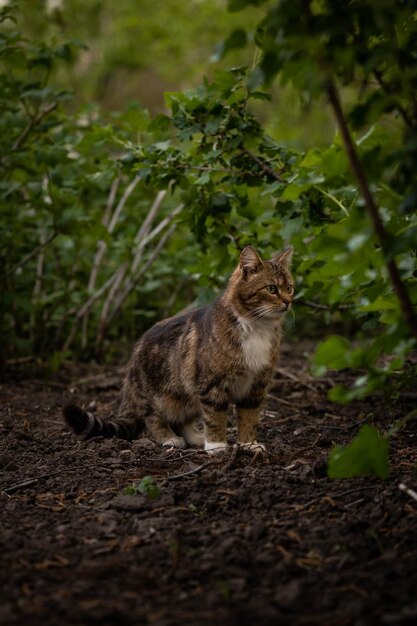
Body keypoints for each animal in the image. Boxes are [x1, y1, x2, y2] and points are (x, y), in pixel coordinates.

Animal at [63, 245, 294, 454]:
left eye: (290, 287)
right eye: (272, 288)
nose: (288, 301)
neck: (257, 327)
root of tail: (132, 362)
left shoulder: (256, 385)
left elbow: (249, 417)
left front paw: (248, 444)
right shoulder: (211, 385)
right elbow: (215, 418)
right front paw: (216, 445)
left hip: (187, 392)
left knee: (183, 419)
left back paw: (196, 438)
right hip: (161, 395)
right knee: (152, 417)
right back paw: (169, 439)